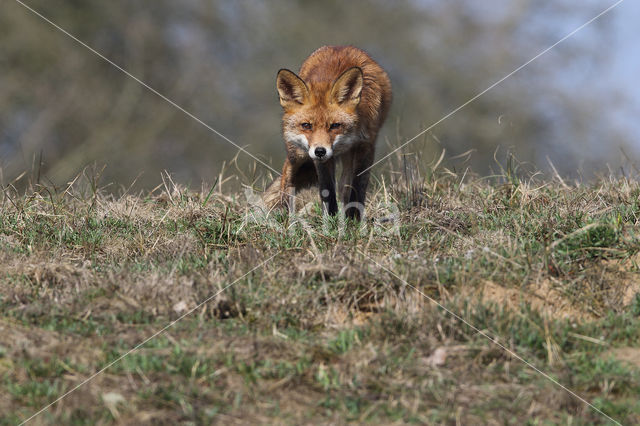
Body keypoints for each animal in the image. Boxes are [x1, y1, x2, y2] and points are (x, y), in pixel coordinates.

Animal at [262, 45, 392, 221]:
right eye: (307, 125)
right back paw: (285, 215)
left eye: (335, 125)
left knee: (344, 186)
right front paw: (331, 221)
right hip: (297, 154)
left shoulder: (365, 146)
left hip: (347, 157)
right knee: (286, 177)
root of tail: (339, 46)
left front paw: (353, 220)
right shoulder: (319, 160)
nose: (320, 151)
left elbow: (357, 188)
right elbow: (327, 190)